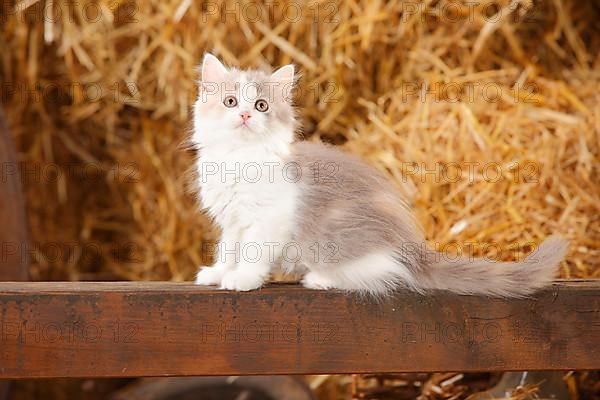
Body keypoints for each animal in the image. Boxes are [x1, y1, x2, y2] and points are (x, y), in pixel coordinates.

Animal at [191, 54, 568, 296]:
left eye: (261, 106)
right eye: (230, 101)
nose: (244, 116)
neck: (239, 159)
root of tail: (412, 251)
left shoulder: (270, 218)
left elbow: (254, 250)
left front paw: (243, 278)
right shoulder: (231, 220)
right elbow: (228, 248)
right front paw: (219, 273)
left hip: (339, 242)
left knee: (383, 276)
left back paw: (320, 279)